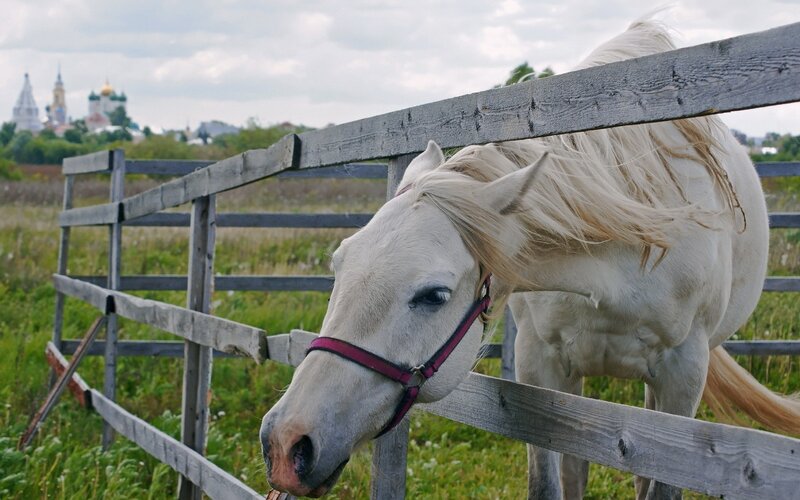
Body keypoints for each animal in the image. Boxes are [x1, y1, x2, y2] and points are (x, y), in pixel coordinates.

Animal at [260, 20, 800, 499]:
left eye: (433, 295)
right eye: (339, 267)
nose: (285, 443)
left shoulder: (682, 381)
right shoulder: (540, 364)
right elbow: (549, 482)